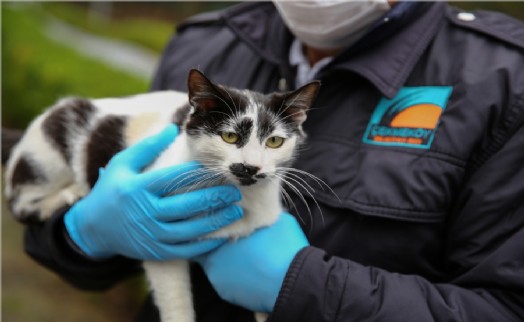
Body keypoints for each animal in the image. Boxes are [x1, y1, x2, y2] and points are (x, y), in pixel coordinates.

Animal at [5, 70, 320, 322]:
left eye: (274, 141)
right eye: (230, 137)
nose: (250, 167)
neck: (240, 196)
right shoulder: (162, 249)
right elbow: (176, 303)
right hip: (49, 148)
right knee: (20, 202)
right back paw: (70, 195)